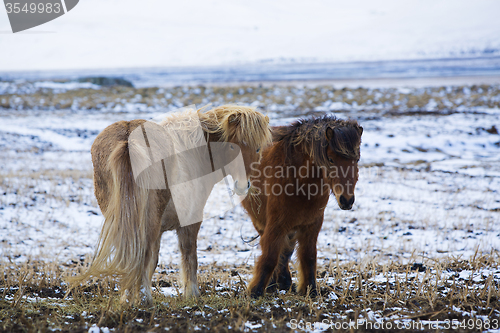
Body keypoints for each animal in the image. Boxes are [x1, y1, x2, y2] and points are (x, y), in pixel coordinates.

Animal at [68, 105, 272, 304]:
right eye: (232, 147)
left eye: (257, 149)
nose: (242, 185)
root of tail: (128, 139)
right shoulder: (189, 224)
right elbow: (189, 256)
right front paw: (192, 294)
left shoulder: (159, 230)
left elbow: (153, 262)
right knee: (143, 255)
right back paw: (142, 300)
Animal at [241, 115, 362, 296]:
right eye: (331, 159)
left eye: (357, 159)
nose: (347, 200)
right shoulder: (275, 224)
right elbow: (269, 256)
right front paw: (256, 291)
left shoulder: (312, 224)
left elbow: (308, 257)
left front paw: (310, 289)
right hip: (262, 221)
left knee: (286, 250)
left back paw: (283, 281)